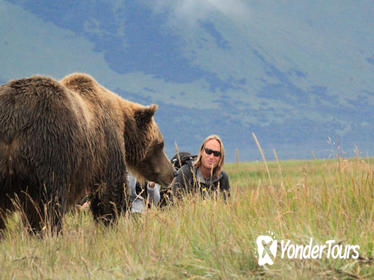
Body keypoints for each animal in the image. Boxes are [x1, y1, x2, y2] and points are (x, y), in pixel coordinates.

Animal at [0, 72, 175, 234]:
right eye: (160, 144)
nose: (172, 172)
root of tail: (12, 122)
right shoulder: (107, 146)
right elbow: (109, 192)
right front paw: (109, 222)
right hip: (48, 149)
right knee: (47, 205)